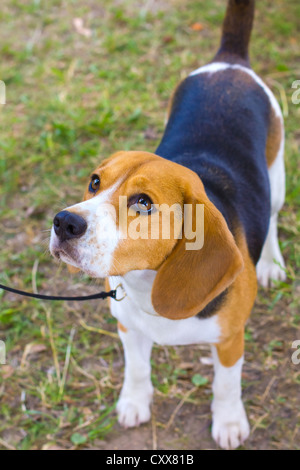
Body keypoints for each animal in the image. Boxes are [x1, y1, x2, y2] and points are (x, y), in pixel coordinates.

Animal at [49, 0, 286, 448]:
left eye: (144, 203)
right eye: (94, 181)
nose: (63, 222)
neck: (148, 281)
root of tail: (230, 62)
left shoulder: (230, 339)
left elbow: (226, 385)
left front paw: (229, 423)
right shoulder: (128, 327)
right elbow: (137, 369)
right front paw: (134, 402)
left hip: (277, 173)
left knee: (274, 216)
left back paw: (271, 263)